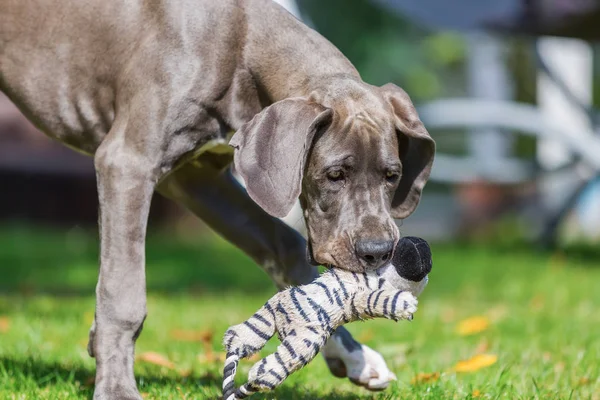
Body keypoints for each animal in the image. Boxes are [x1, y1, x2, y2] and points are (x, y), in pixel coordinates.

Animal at [0, 0, 432, 396]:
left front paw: (353, 354)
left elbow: (285, 246)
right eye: (335, 175)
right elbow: (123, 294)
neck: (239, 47)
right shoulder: (127, 162)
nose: (378, 252)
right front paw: (117, 388)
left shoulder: (196, 177)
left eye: (392, 176)